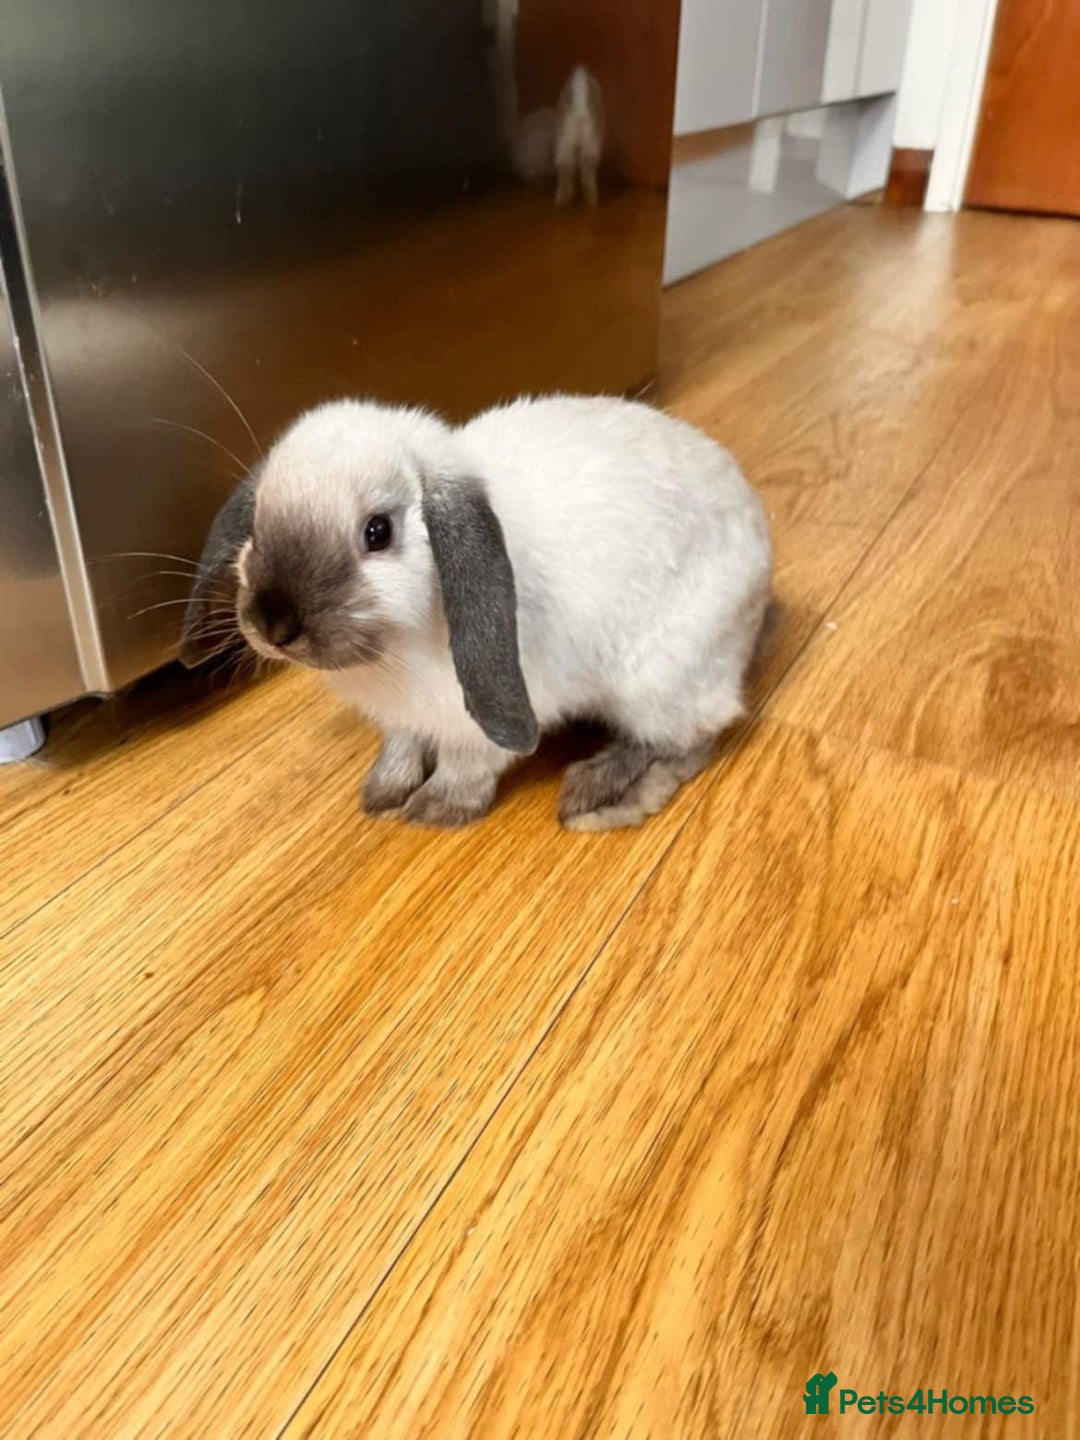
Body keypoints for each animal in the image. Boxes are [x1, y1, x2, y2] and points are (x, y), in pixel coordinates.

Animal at [180, 395, 772, 831]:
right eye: (256, 525)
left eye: (378, 532)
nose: (274, 625)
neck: (395, 656)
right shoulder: (404, 719)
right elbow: (402, 746)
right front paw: (382, 792)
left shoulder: (477, 724)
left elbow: (466, 768)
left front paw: (433, 811)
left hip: (659, 686)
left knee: (691, 742)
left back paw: (599, 797)